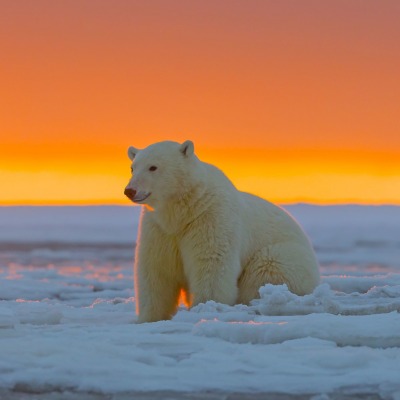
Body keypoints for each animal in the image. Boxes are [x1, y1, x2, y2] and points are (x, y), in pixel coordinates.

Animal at [124, 140, 318, 322]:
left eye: (153, 167)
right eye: (133, 168)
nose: (130, 190)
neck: (183, 211)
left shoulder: (210, 218)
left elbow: (211, 264)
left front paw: (206, 307)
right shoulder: (159, 228)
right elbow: (156, 269)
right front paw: (149, 318)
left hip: (285, 257)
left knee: (266, 269)